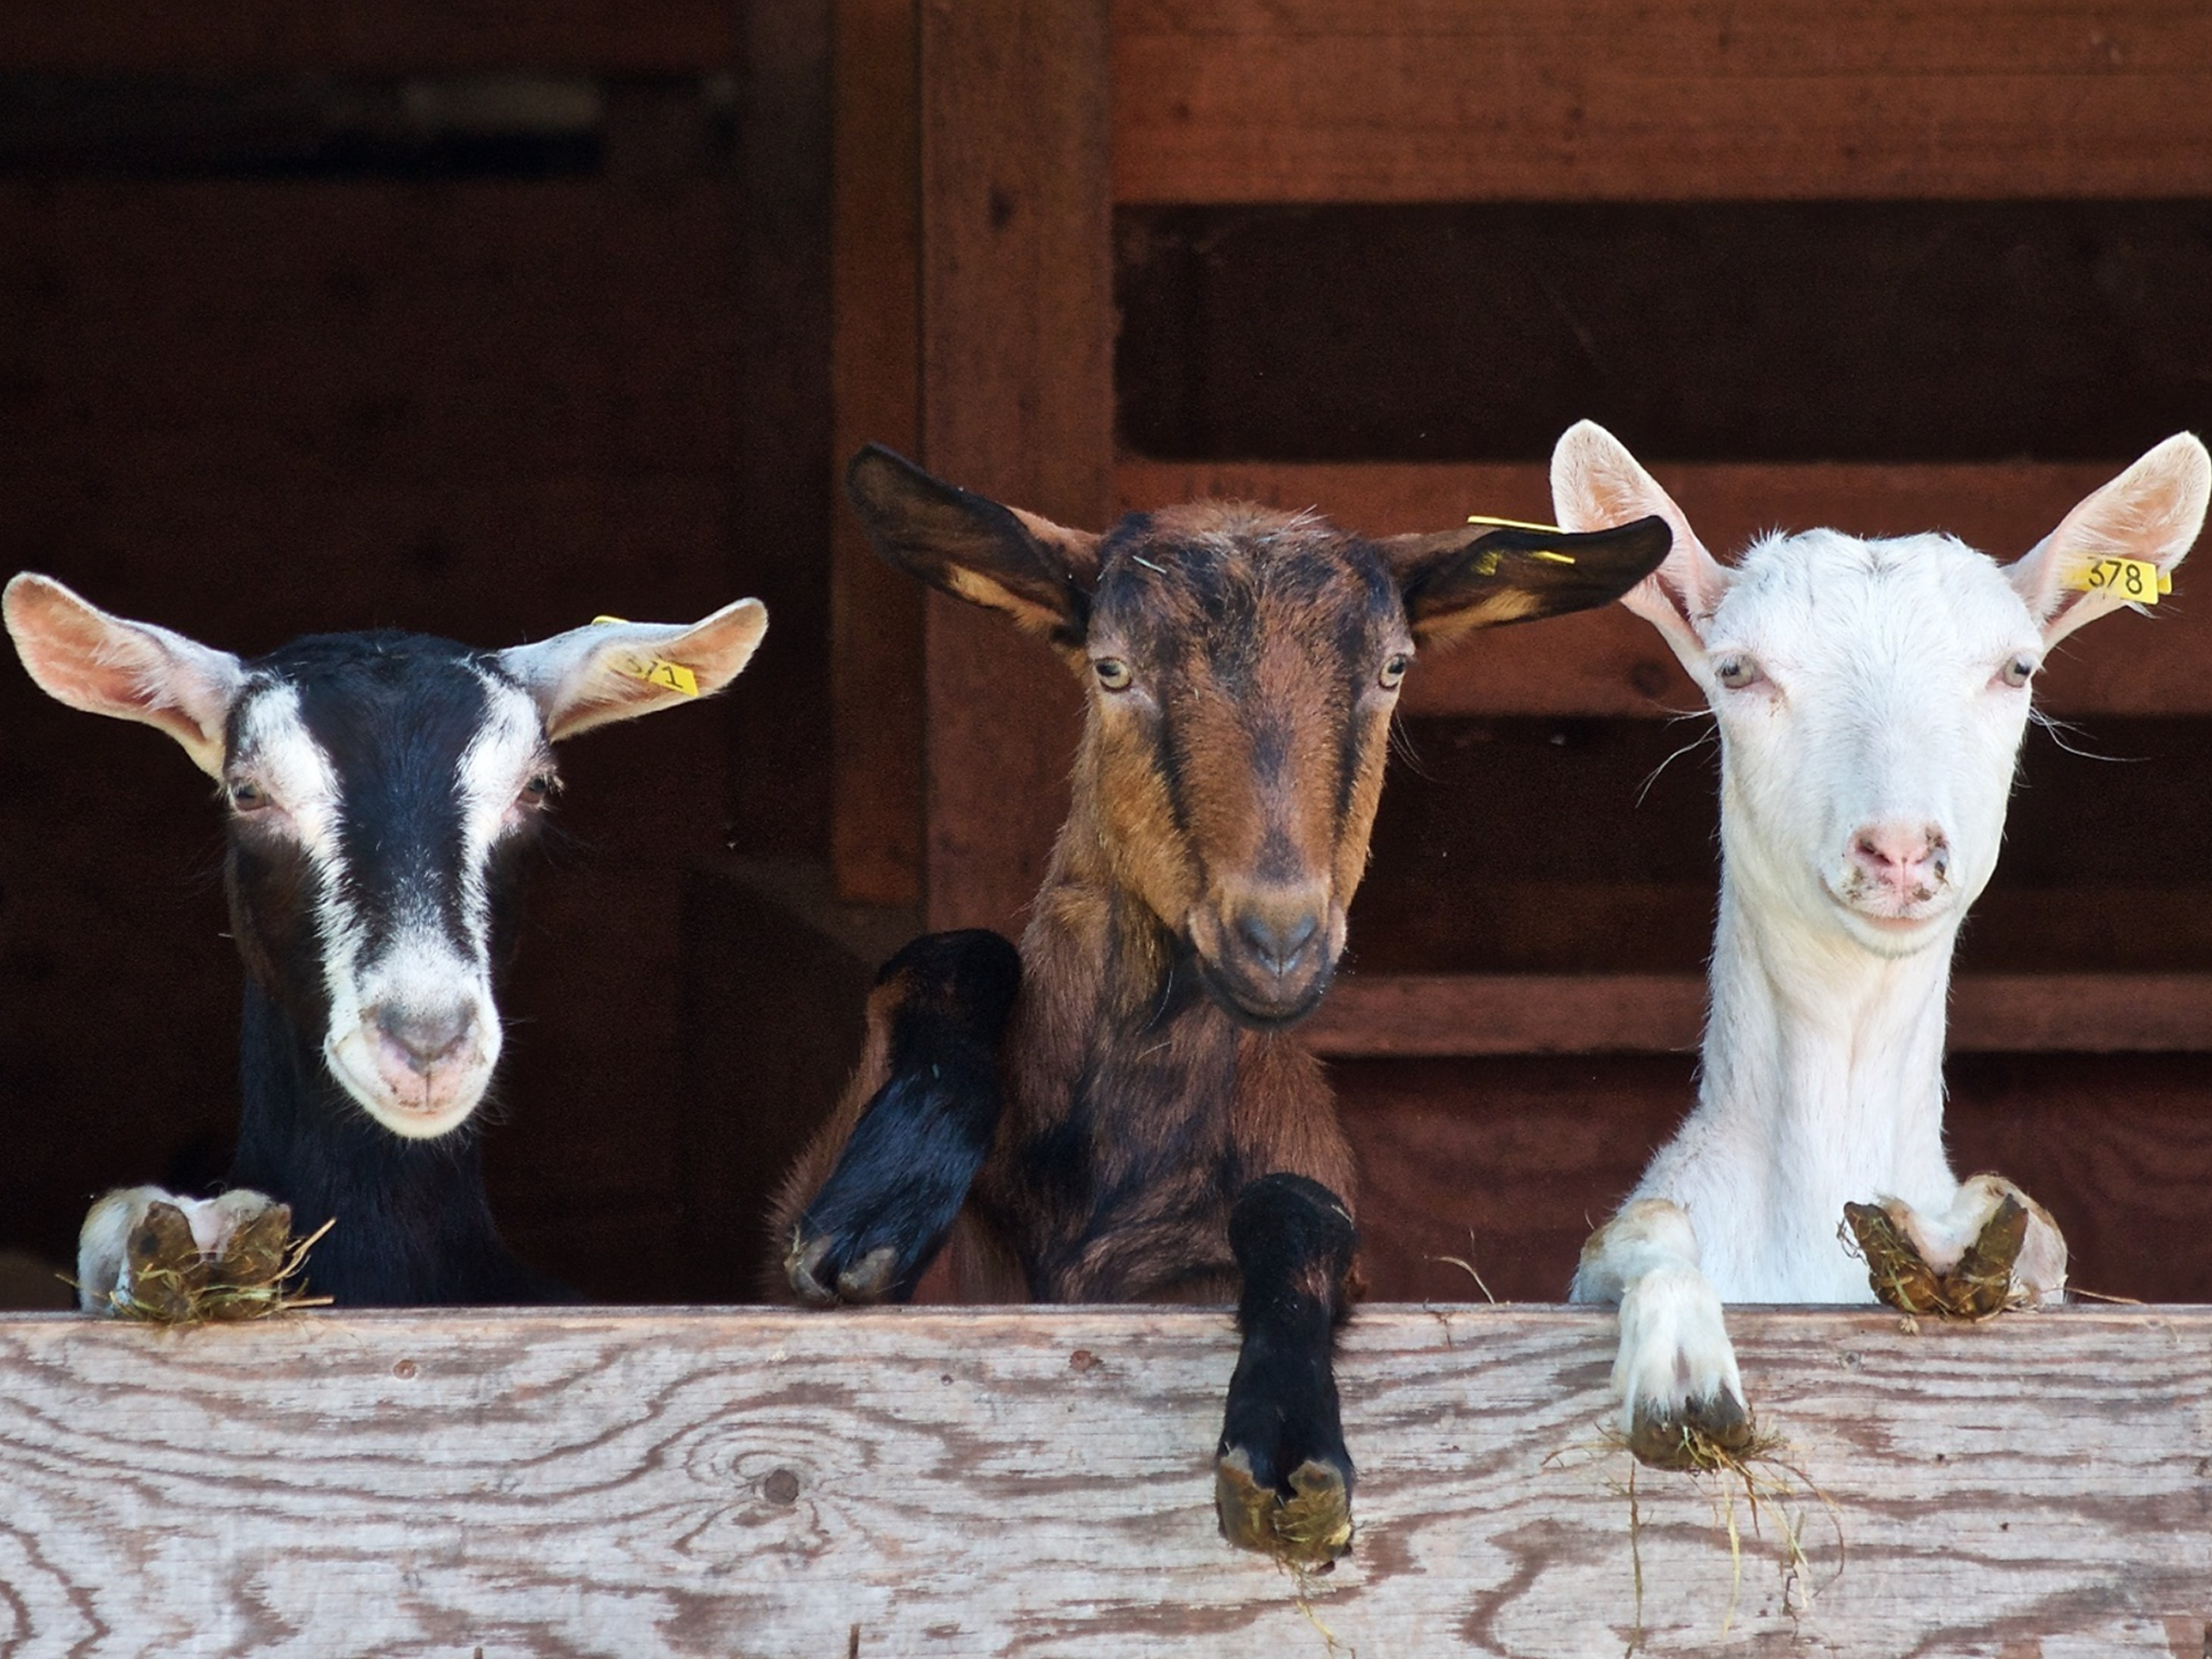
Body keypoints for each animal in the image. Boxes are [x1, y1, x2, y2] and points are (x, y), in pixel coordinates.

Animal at [773, 445, 1672, 1561]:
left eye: (1392, 669)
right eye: (1111, 668)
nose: (1276, 941)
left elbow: (1300, 1208)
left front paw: (1287, 1444)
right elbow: (950, 954)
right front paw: (878, 1209)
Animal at [1550, 422, 2209, 1466]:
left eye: (2016, 669)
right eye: (1736, 670)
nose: (1898, 849)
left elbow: (2034, 1230)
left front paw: (1949, 1242)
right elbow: (1637, 1227)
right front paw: (1683, 1377)